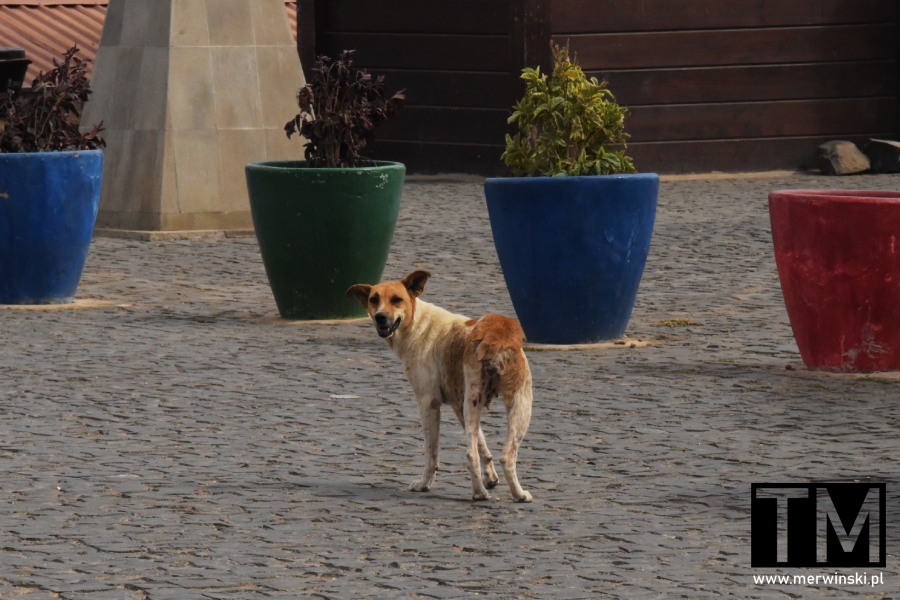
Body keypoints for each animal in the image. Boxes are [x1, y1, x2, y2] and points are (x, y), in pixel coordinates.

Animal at [346, 270, 532, 502]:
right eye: (374, 299)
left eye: (396, 300)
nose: (380, 316)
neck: (417, 325)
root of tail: (494, 337)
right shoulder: (457, 406)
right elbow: (480, 444)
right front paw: (489, 478)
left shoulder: (432, 404)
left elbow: (434, 454)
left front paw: (424, 484)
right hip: (507, 404)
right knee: (504, 456)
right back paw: (513, 494)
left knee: (474, 454)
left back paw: (481, 494)